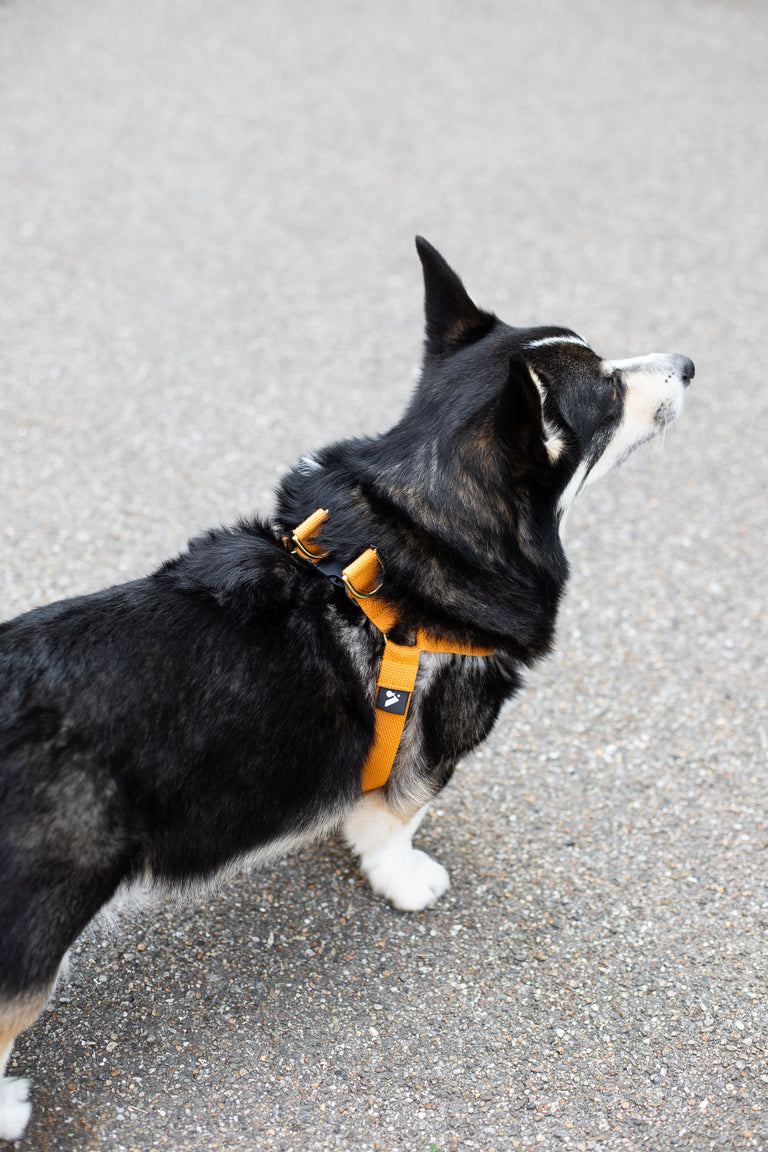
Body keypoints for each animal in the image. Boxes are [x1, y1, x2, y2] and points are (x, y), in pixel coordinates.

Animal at [0, 236, 695, 1142]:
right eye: (608, 390)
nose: (689, 364)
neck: (421, 516)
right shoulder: (438, 740)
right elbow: (397, 820)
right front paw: (405, 879)